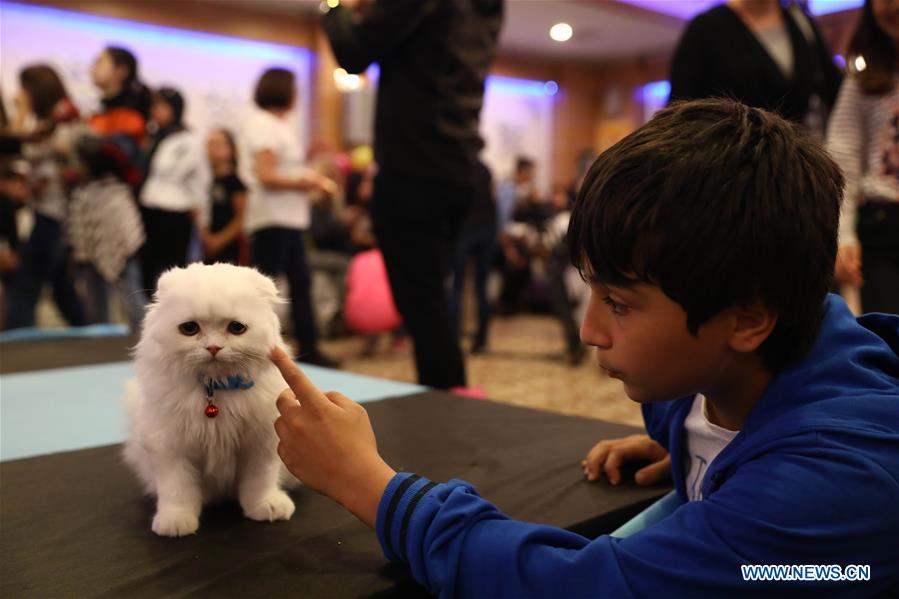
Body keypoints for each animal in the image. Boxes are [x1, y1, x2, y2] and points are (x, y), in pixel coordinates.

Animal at [123, 264, 298, 536]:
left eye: (236, 328)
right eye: (189, 329)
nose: (213, 348)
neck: (216, 388)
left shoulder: (261, 443)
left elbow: (260, 482)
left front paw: (266, 506)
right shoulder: (170, 447)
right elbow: (177, 490)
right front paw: (176, 522)